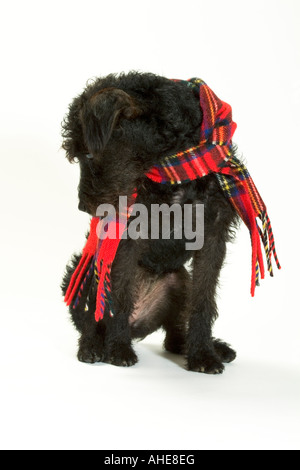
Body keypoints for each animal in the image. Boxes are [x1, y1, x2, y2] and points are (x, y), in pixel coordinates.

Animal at [61, 72, 239, 374]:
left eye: (88, 155)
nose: (83, 206)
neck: (174, 169)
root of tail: (140, 323)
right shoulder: (129, 236)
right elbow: (119, 297)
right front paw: (118, 349)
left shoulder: (213, 235)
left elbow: (203, 301)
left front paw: (203, 354)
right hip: (83, 275)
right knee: (90, 321)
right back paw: (94, 346)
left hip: (180, 281)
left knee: (174, 336)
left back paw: (209, 347)